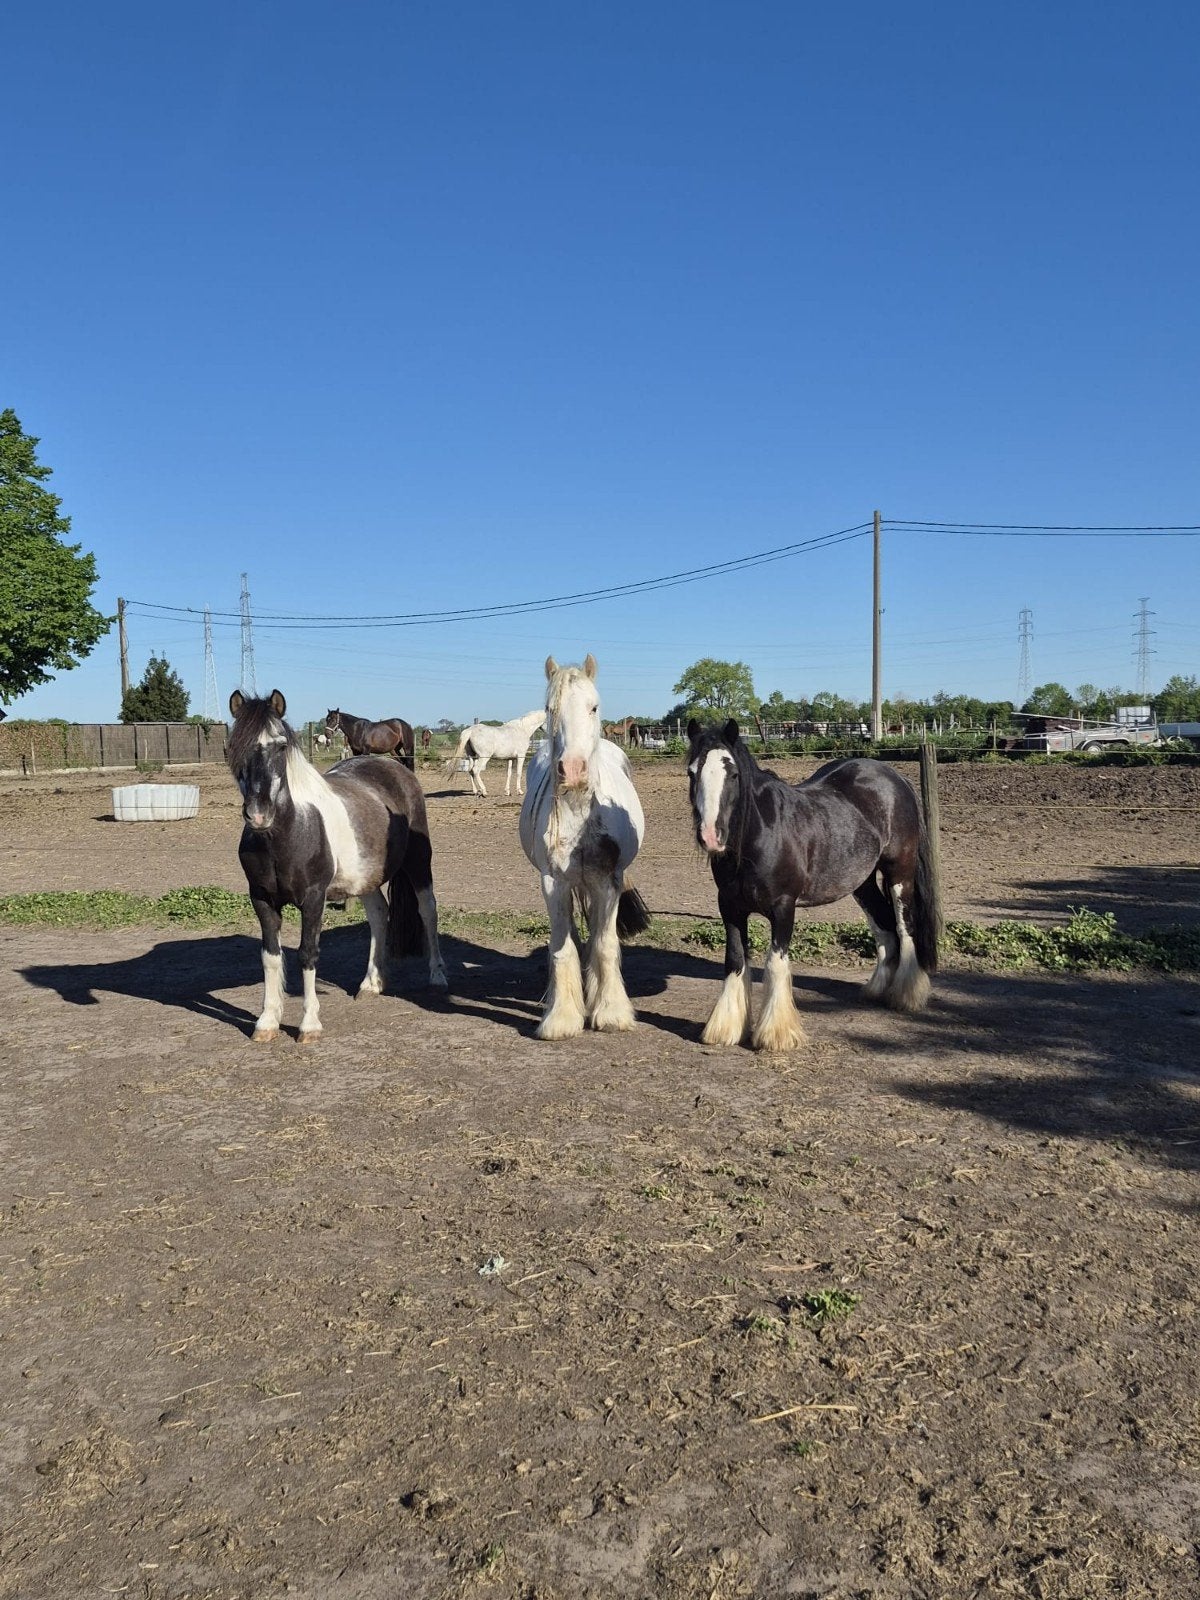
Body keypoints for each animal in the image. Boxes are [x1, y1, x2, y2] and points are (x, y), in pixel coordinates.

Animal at [228, 691, 446, 1042]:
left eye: (281, 746)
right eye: (234, 745)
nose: (259, 814)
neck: (290, 830)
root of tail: (396, 768)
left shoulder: (313, 898)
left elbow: (307, 954)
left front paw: (309, 1025)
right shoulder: (261, 899)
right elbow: (270, 957)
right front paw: (267, 1022)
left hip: (418, 862)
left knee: (428, 910)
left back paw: (438, 975)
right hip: (365, 878)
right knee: (379, 916)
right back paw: (371, 984)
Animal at [519, 655, 650, 1039]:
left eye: (593, 707)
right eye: (550, 709)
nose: (573, 769)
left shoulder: (607, 881)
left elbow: (605, 945)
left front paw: (611, 1012)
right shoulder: (554, 882)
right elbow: (563, 948)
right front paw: (562, 1017)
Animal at [686, 719, 939, 1051]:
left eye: (733, 773)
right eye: (692, 772)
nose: (710, 836)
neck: (760, 835)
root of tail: (896, 779)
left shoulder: (783, 907)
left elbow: (775, 963)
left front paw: (776, 1034)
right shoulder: (730, 907)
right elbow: (735, 960)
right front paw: (725, 1028)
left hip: (900, 873)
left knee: (904, 926)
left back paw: (905, 996)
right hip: (862, 882)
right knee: (884, 927)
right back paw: (876, 990)